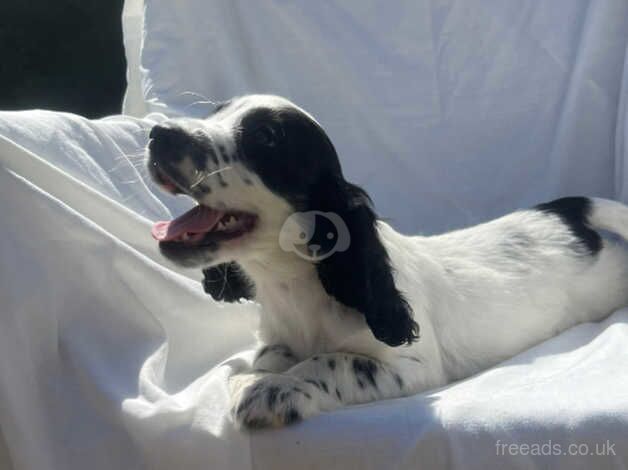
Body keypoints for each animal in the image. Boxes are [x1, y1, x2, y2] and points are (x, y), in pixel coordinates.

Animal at [145, 94, 628, 430]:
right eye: (215, 113)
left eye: (266, 137)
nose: (158, 135)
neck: (296, 284)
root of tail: (567, 211)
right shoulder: (276, 338)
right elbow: (271, 355)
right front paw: (266, 374)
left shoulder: (413, 367)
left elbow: (332, 361)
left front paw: (270, 390)